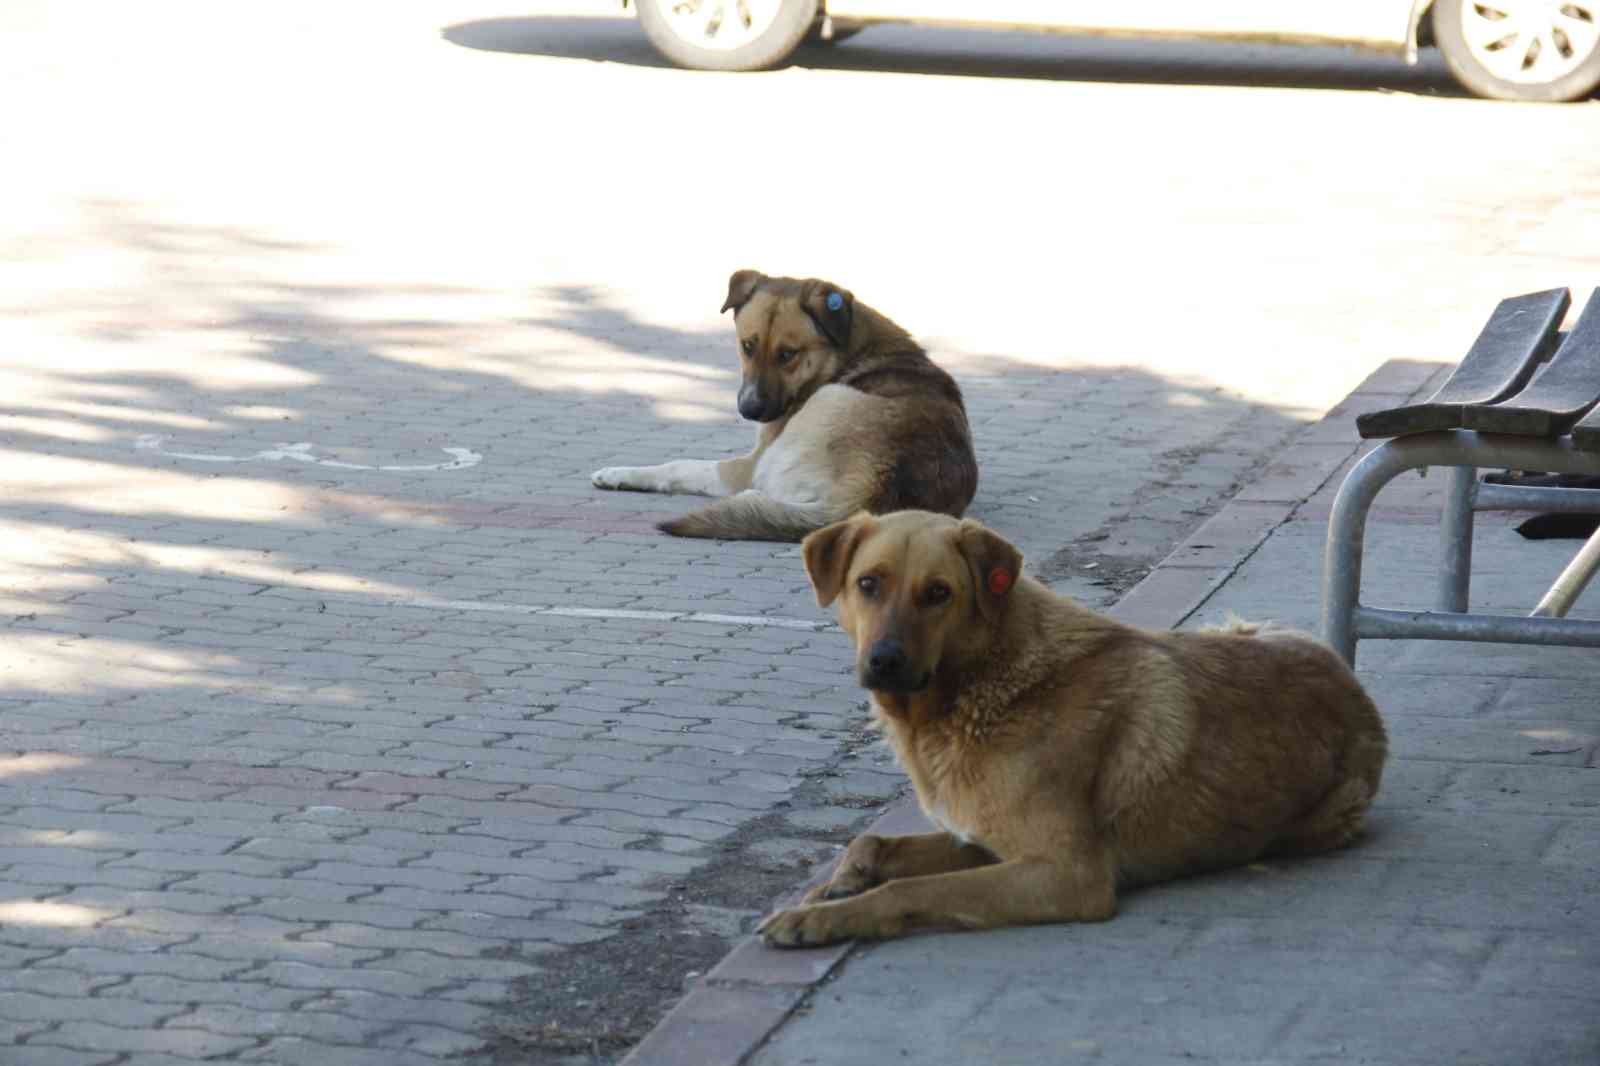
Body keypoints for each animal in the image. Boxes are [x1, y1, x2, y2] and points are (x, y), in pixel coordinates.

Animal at [595, 272, 979, 541]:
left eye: (787, 354)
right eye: (747, 346)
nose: (749, 409)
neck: (844, 353)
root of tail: (868, 494)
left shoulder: (747, 464)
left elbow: (678, 465)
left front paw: (618, 474)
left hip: (819, 410)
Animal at [755, 512, 1382, 941]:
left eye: (938, 593)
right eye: (868, 583)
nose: (884, 661)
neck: (984, 685)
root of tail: (1353, 685)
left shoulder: (1066, 874)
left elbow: (911, 888)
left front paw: (822, 919)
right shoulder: (980, 841)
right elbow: (875, 842)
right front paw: (838, 883)